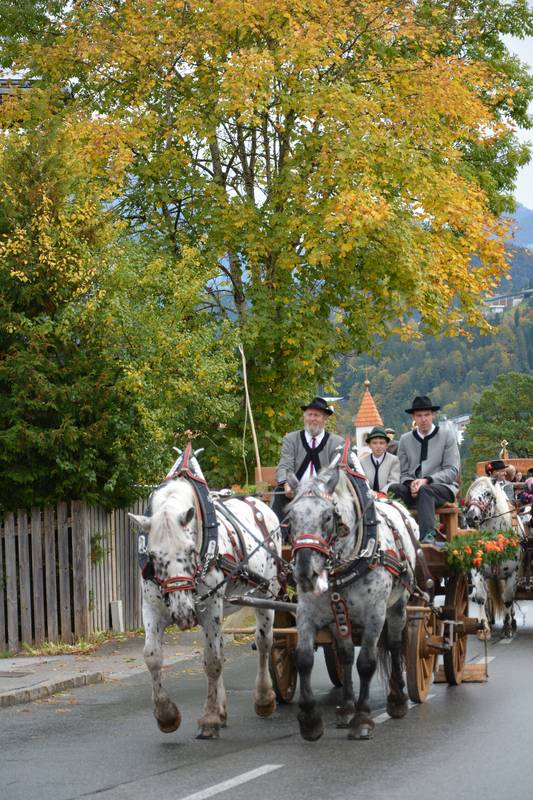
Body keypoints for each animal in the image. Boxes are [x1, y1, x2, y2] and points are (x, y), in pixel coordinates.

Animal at [129, 449, 282, 739]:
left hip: (266, 594)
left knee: (264, 643)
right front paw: (167, 715)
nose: (182, 613)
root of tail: (261, 505)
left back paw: (264, 698)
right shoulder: (152, 607)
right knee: (222, 647)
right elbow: (152, 656)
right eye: (152, 555)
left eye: (190, 549)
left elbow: (212, 662)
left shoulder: (210, 605)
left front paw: (209, 719)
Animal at [284, 464, 418, 741]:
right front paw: (310, 720)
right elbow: (304, 658)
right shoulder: (307, 612)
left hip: (398, 605)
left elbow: (366, 662)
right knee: (345, 654)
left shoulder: (375, 614)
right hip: (340, 617)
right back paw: (345, 707)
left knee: (395, 644)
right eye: (290, 518)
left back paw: (397, 699)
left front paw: (363, 718)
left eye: (327, 517)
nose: (305, 573)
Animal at [464, 475, 525, 638]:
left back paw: (511, 622)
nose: (471, 517)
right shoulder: (477, 570)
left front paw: (508, 627)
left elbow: (508, 599)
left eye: (488, 494)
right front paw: (483, 628)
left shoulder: (512, 574)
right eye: (471, 494)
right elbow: (481, 597)